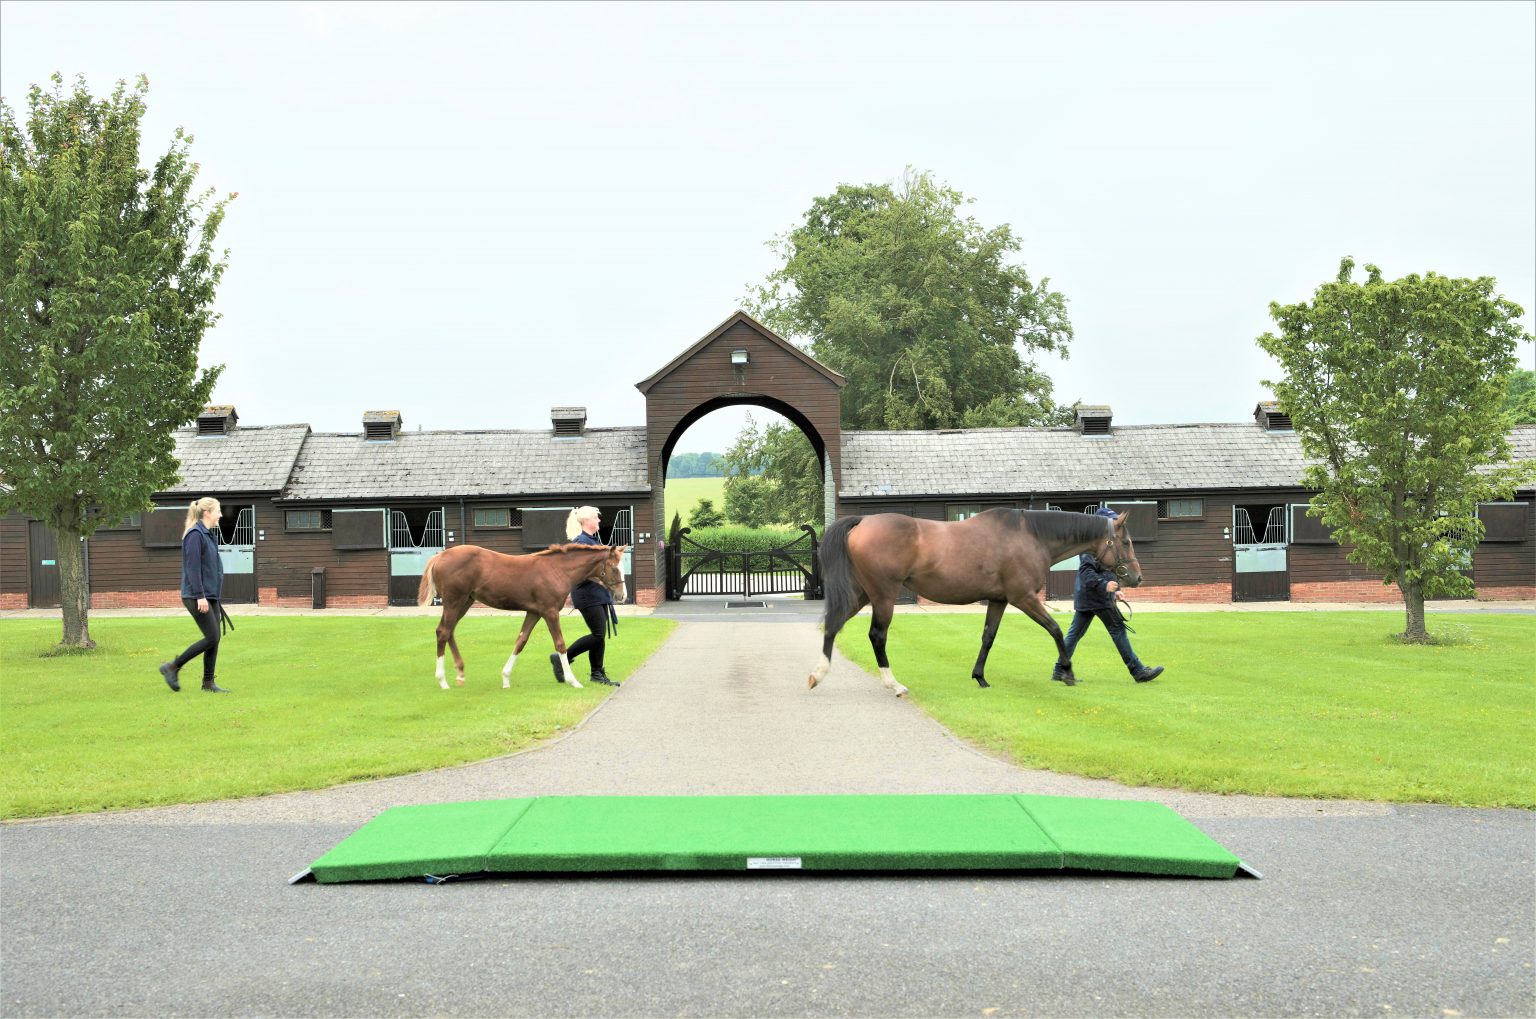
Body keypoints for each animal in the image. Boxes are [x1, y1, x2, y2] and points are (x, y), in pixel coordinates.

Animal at [417, 543, 628, 690]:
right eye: (614, 568)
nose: (622, 596)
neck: (557, 570)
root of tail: (440, 556)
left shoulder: (534, 612)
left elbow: (521, 641)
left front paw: (505, 678)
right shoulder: (550, 611)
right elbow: (560, 643)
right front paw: (573, 680)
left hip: (465, 601)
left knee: (448, 630)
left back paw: (460, 674)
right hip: (454, 601)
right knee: (443, 632)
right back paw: (442, 681)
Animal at [807, 509, 1143, 696]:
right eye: (1126, 542)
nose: (1137, 577)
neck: (1029, 536)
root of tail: (862, 521)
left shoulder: (998, 600)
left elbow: (988, 637)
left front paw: (979, 677)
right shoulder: (1023, 598)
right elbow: (1056, 630)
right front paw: (1068, 673)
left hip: (863, 594)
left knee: (833, 625)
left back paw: (818, 675)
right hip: (883, 596)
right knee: (877, 636)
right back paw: (895, 684)